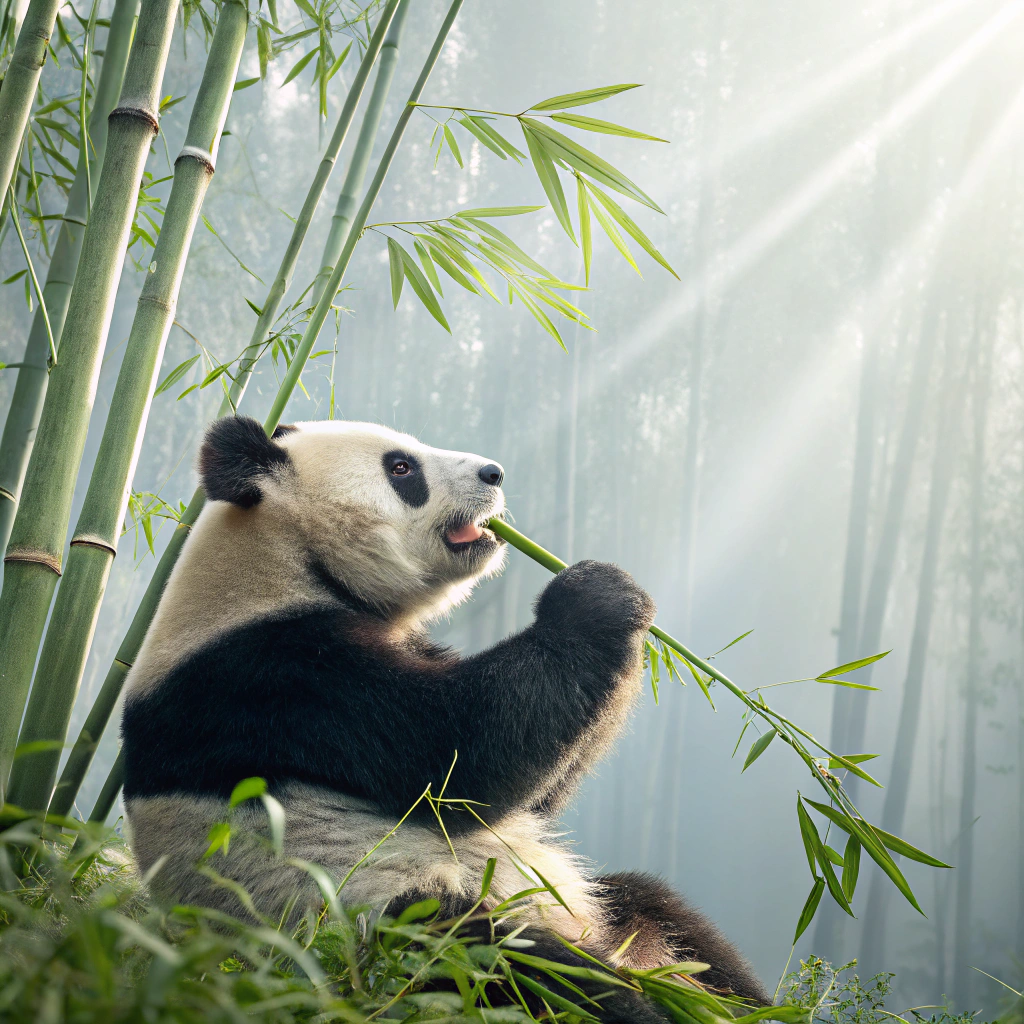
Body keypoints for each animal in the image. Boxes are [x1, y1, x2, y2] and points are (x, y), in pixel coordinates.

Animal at [121, 415, 768, 1019]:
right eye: (401, 468)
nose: (494, 474)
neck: (282, 561)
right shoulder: (274, 679)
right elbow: (460, 758)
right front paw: (598, 594)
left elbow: (533, 794)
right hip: (372, 928)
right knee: (509, 961)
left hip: (598, 908)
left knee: (665, 914)